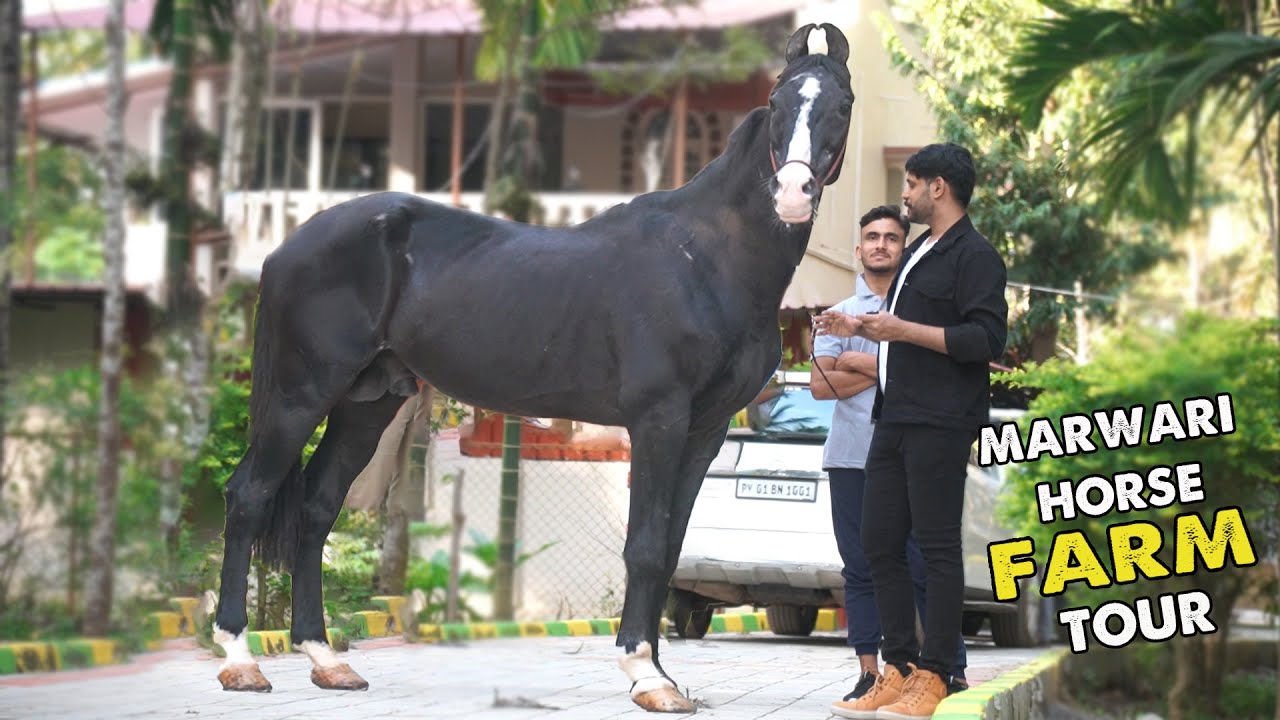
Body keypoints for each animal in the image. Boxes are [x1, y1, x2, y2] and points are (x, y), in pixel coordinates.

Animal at [210, 22, 855, 713]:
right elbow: (645, 545)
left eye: (841, 105)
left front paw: (660, 675)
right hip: (300, 394)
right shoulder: (658, 420)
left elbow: (670, 546)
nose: (792, 195)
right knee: (248, 496)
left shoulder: (704, 431)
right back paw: (240, 661)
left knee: (316, 508)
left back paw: (326, 659)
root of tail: (288, 246)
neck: (705, 258)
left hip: (367, 403)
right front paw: (646, 674)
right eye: (778, 103)